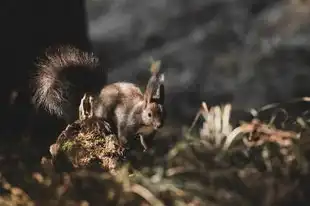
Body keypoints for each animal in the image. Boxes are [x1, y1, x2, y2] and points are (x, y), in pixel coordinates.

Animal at [32, 45, 165, 150]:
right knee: (94, 117)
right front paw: (123, 148)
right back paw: (100, 123)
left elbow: (147, 142)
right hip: (104, 107)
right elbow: (123, 136)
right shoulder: (127, 123)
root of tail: (95, 96)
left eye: (164, 112)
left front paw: (148, 149)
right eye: (149, 114)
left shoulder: (149, 133)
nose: (159, 125)